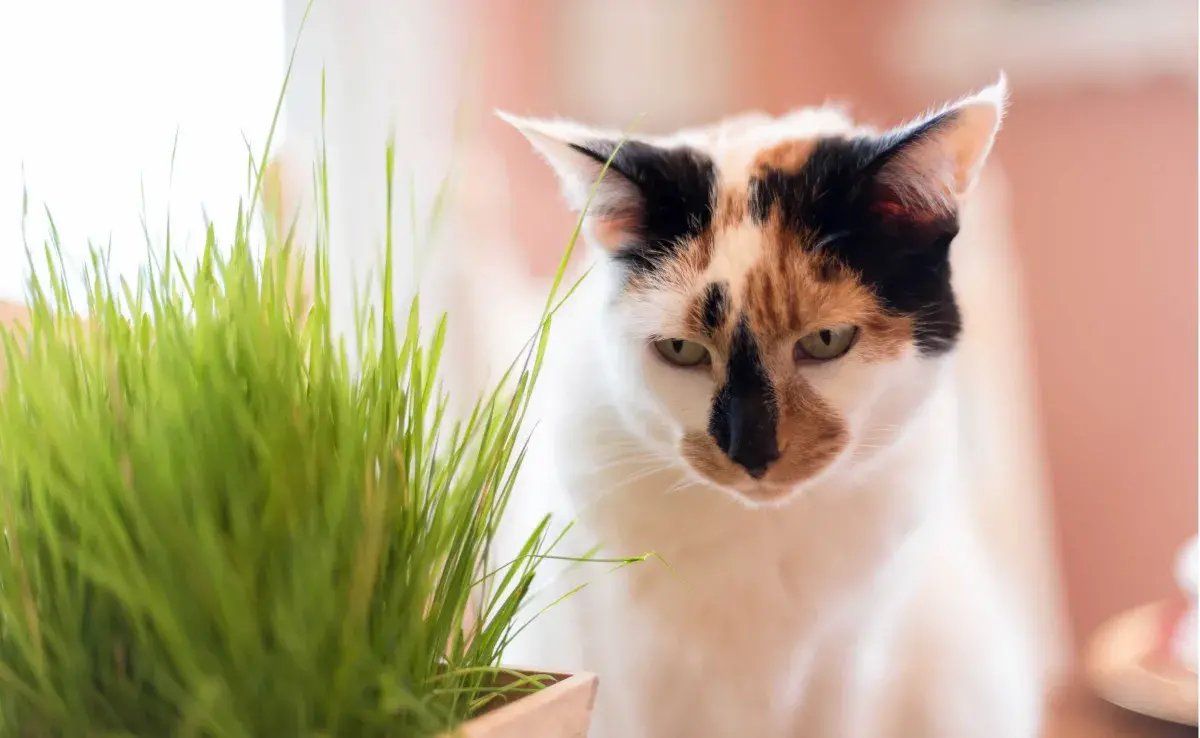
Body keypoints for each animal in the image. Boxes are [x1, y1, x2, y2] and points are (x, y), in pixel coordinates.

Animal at [489, 76, 1041, 738]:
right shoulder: (623, 665)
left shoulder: (850, 660)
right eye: (680, 349)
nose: (751, 450)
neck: (761, 534)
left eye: (826, 340)